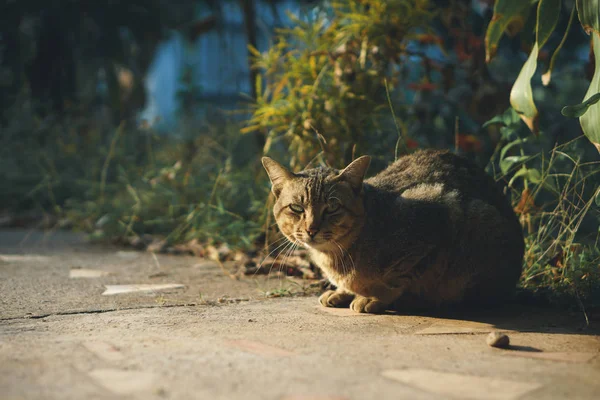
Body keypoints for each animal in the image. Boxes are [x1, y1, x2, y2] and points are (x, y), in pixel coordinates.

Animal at [260, 150, 524, 312]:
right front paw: (343, 291)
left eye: (332, 207)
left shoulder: (438, 219)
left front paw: (374, 298)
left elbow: (399, 279)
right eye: (297, 208)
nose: (312, 229)